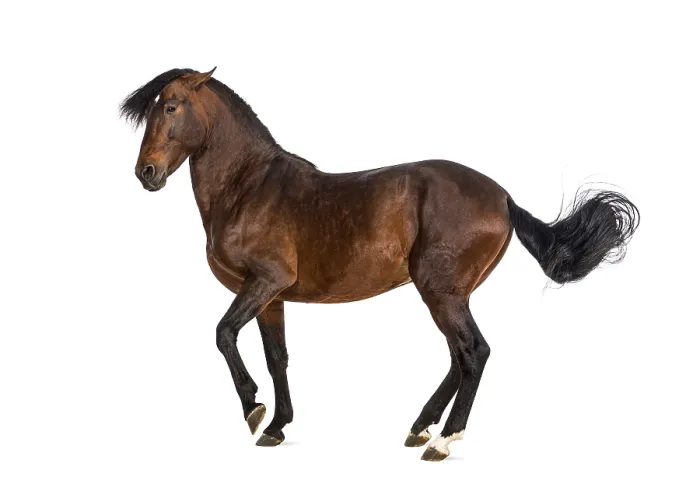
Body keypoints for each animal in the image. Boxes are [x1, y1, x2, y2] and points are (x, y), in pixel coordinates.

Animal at [120, 67, 639, 461]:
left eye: (171, 107)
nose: (146, 173)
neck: (248, 188)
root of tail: (504, 198)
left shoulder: (263, 282)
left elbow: (224, 334)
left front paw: (253, 409)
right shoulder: (272, 297)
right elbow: (277, 357)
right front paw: (277, 426)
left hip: (440, 292)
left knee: (474, 352)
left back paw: (443, 441)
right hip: (448, 294)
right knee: (459, 356)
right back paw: (420, 427)